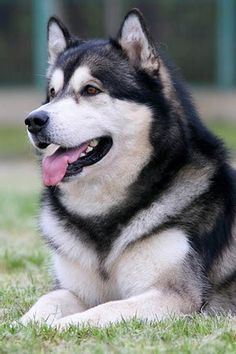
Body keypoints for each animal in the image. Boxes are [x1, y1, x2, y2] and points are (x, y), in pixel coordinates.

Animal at [20, 9, 236, 330]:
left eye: (91, 89)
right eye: (52, 93)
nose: (33, 120)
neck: (102, 214)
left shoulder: (175, 296)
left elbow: (103, 309)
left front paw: (59, 326)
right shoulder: (72, 289)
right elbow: (46, 301)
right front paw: (20, 325)